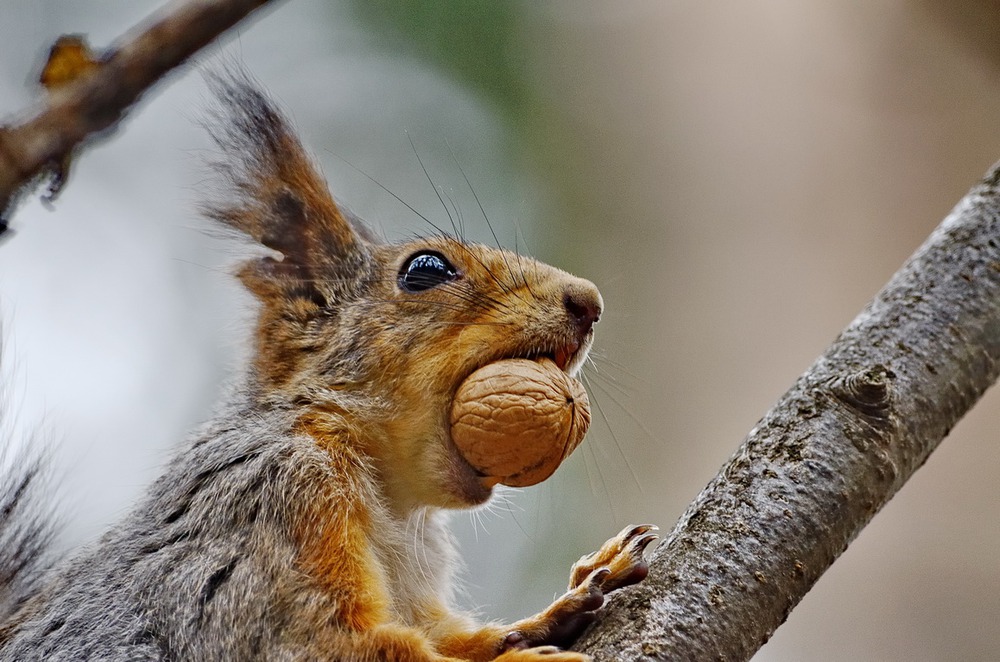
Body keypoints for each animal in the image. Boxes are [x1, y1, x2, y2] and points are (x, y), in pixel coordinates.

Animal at [0, 72, 656, 662]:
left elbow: (447, 636)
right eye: (426, 269)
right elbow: (322, 642)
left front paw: (559, 606)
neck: (391, 500)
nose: (588, 301)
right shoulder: (267, 511)